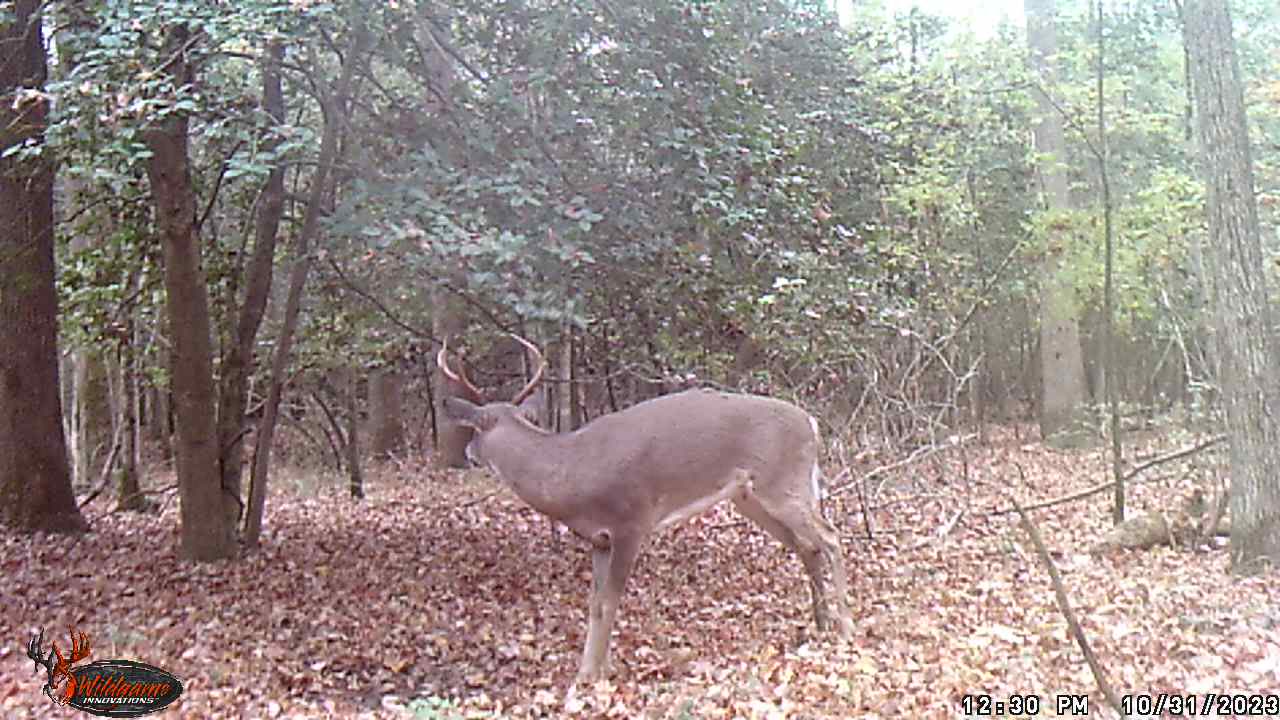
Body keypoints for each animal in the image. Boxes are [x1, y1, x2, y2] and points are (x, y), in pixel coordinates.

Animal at [437, 335, 849, 681]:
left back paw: (847, 627)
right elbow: (594, 604)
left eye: (475, 428)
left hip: (782, 482)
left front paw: (595, 677)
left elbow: (610, 602)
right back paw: (821, 624)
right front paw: (588, 671)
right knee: (807, 546)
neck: (571, 474)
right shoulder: (599, 538)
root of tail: (811, 423)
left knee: (830, 537)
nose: (467, 453)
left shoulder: (631, 521)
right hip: (751, 496)